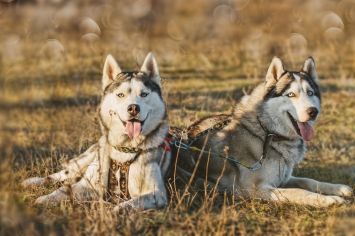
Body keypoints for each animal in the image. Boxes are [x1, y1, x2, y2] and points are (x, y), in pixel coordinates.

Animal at [22, 53, 172, 210]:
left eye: (144, 94)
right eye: (120, 95)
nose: (133, 108)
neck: (125, 149)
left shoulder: (156, 195)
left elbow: (126, 205)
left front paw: (113, 210)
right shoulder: (87, 185)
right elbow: (63, 190)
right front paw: (45, 199)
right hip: (87, 159)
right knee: (61, 174)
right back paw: (33, 181)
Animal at [178, 57, 354, 206]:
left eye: (310, 93)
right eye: (291, 94)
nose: (313, 111)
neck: (267, 133)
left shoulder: (284, 178)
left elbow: (309, 181)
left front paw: (338, 188)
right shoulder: (255, 189)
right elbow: (299, 191)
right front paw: (329, 199)